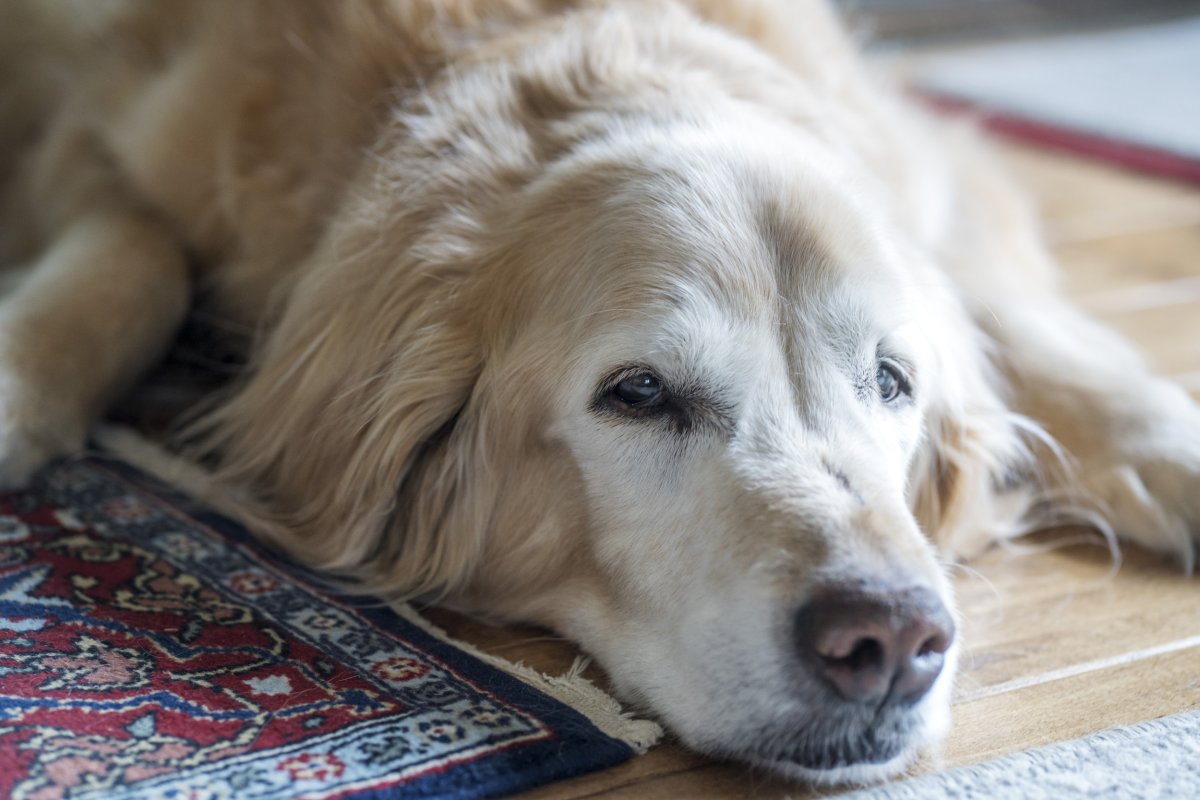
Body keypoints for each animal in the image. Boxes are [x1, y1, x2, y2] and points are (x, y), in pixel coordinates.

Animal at [2, 0, 1200, 786]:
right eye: (639, 392)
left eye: (893, 380)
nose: (893, 643)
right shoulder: (84, 123)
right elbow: (140, 254)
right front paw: (19, 383)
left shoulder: (943, 170)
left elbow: (1011, 315)